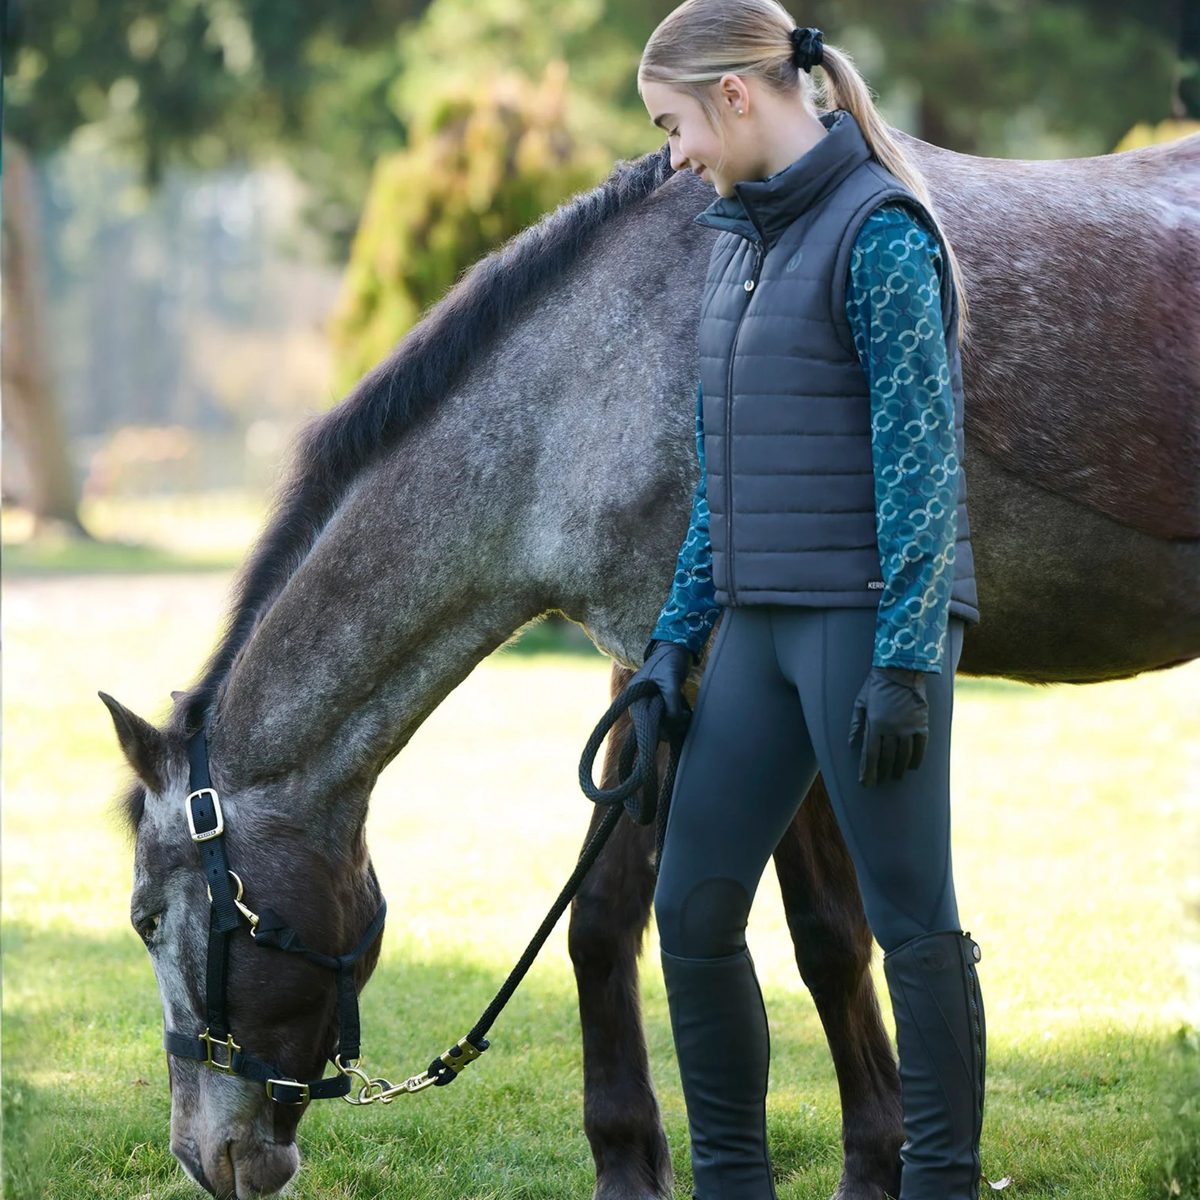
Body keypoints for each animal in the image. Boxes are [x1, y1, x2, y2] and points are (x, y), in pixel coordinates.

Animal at [103, 127, 1200, 1200]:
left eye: (149, 920)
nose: (206, 1158)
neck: (596, 377)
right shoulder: (650, 672)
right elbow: (602, 923)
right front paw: (629, 1159)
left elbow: (827, 938)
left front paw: (872, 1161)